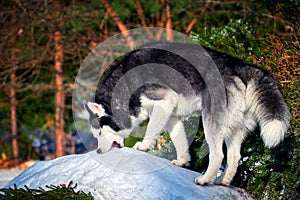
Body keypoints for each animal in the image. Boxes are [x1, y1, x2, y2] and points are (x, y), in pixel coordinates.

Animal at [84, 42, 288, 186]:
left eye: (100, 133)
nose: (99, 152)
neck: (125, 86)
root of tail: (239, 65)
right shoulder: (171, 116)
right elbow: (180, 141)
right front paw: (182, 161)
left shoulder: (164, 102)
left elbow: (151, 131)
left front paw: (143, 146)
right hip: (235, 130)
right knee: (234, 158)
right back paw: (222, 181)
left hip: (210, 124)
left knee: (218, 155)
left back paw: (205, 180)